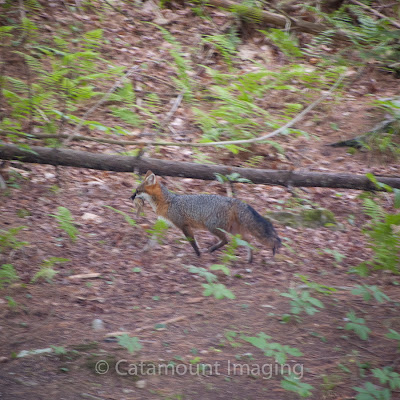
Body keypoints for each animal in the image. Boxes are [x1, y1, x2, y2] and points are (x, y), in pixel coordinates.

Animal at [131, 170, 281, 263]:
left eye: (137, 191)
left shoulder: (184, 225)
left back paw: (212, 249)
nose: (130, 197)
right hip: (233, 230)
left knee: (226, 241)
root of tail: (233, 200)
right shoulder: (164, 223)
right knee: (247, 241)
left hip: (213, 227)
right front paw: (145, 250)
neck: (168, 201)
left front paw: (198, 255)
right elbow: (153, 240)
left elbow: (193, 242)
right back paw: (249, 260)